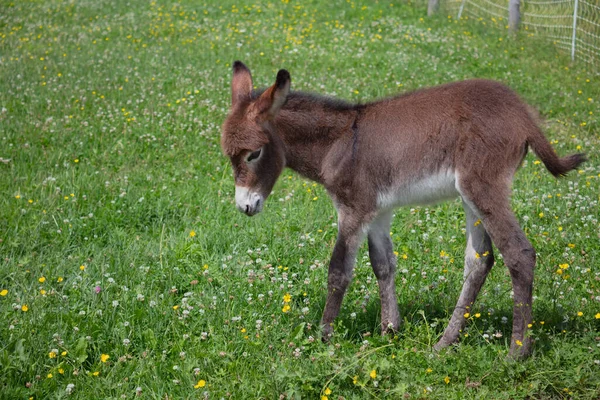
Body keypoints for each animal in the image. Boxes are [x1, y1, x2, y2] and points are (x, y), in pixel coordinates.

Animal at [220, 61, 584, 360]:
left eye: (253, 154)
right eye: (229, 156)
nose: (244, 206)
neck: (340, 142)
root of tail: (522, 114)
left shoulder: (353, 210)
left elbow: (339, 270)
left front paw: (323, 338)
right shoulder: (378, 212)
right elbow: (383, 265)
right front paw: (389, 330)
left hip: (484, 186)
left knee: (519, 253)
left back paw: (517, 353)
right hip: (469, 195)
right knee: (479, 260)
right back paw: (445, 342)